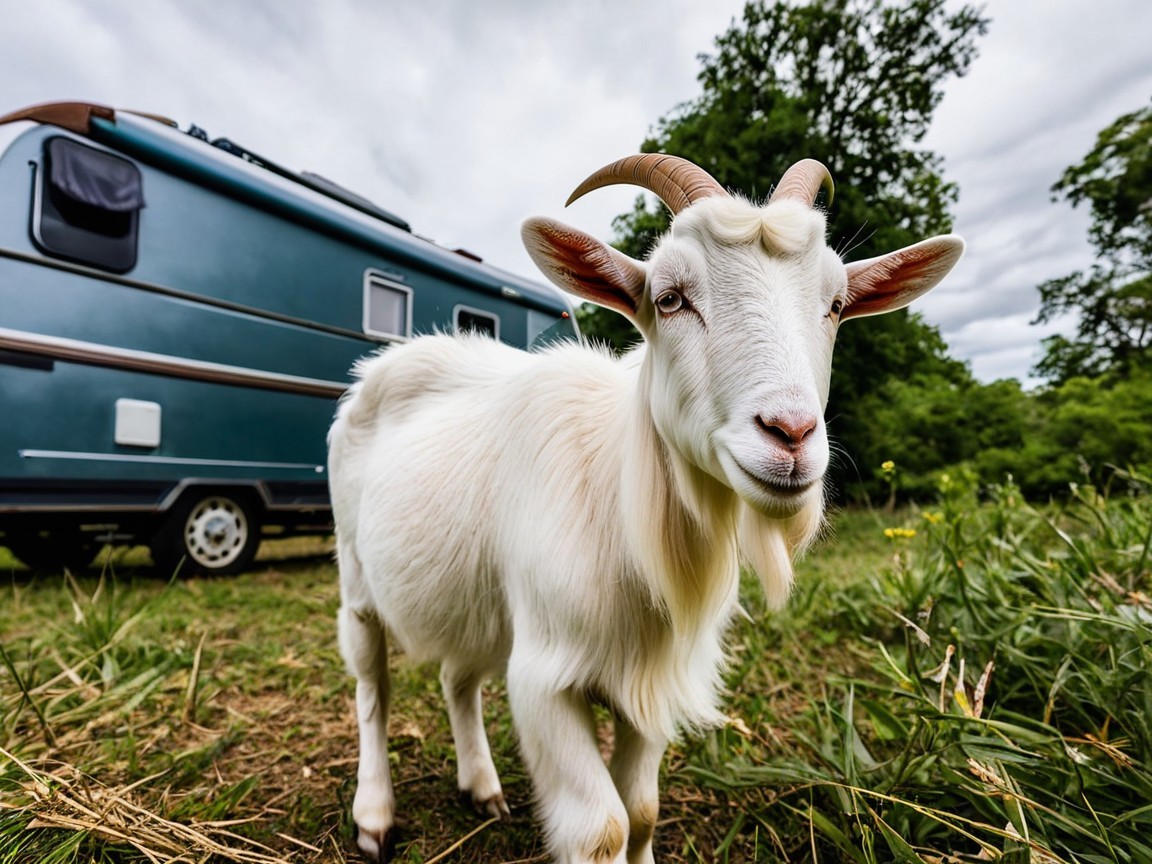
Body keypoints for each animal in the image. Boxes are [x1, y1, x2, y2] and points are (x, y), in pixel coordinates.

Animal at [329, 154, 964, 863]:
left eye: (834, 305)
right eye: (669, 298)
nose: (791, 434)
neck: (621, 511)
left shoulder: (655, 676)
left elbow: (641, 810)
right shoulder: (545, 679)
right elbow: (601, 827)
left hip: (477, 606)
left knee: (457, 679)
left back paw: (482, 787)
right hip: (357, 576)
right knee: (373, 688)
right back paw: (375, 816)